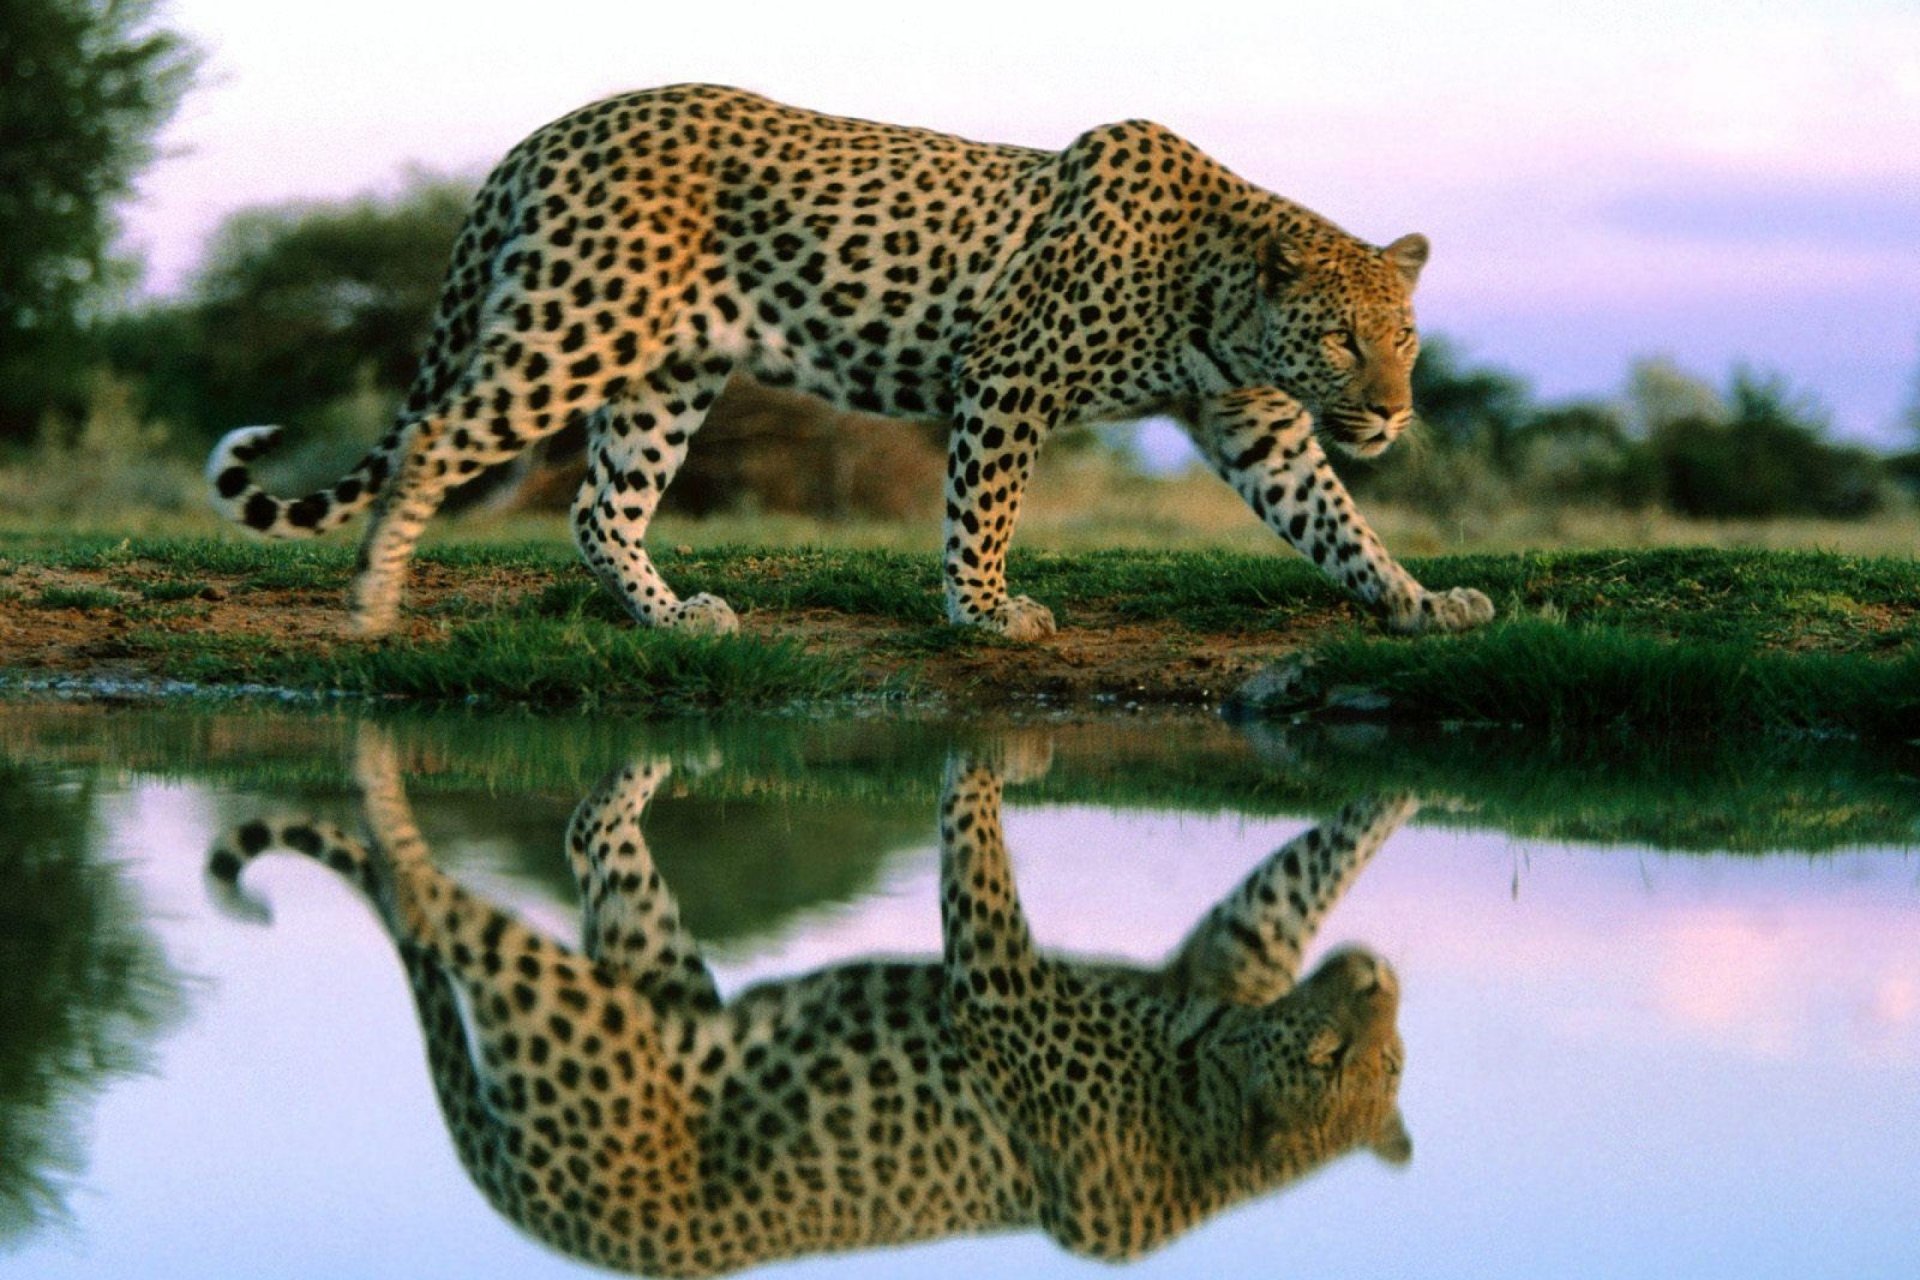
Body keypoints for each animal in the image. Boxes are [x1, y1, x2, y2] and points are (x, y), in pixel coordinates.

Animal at [205, 83, 1493, 642]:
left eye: (1406, 339)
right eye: (1340, 337)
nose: (1392, 413)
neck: (1217, 292)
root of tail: (548, 132)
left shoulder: (1254, 424)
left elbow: (1335, 520)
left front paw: (1419, 600)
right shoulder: (1008, 377)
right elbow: (983, 510)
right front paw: (985, 612)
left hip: (666, 373)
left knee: (597, 505)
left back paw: (672, 617)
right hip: (576, 327)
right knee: (433, 437)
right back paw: (371, 602)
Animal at [208, 729, 1413, 1275]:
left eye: (1389, 1062)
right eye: (1330, 1059)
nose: (1380, 977)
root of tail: (545, 1216)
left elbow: (1292, 878)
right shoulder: (1003, 983)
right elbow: (976, 851)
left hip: (621, 984)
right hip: (577, 1011)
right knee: (430, 897)